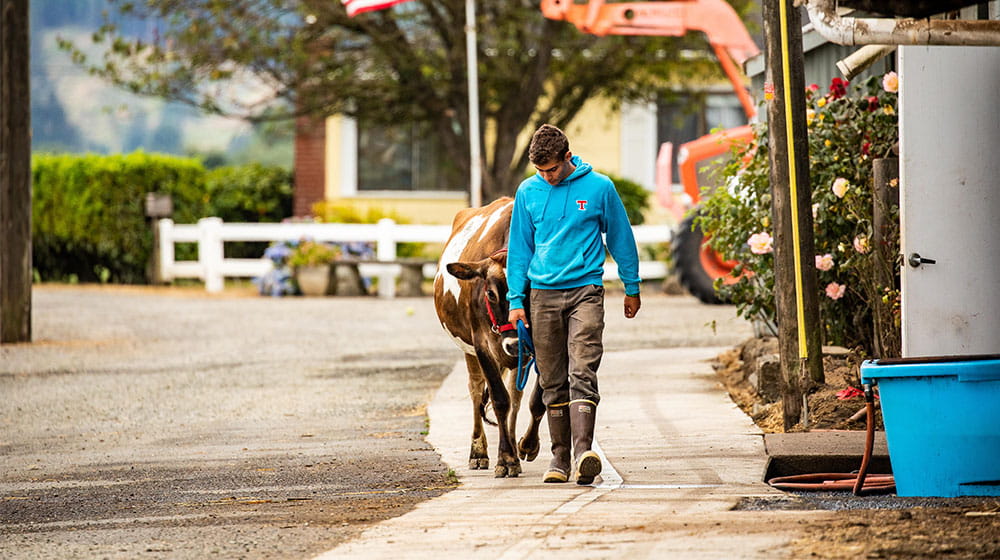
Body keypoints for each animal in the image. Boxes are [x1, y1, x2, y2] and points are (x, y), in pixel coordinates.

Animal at [433, 197, 545, 478]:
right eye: (491, 294)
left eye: (531, 289)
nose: (515, 344)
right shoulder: (481, 345)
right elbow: (499, 400)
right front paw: (505, 458)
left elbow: (535, 398)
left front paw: (525, 446)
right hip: (469, 350)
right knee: (475, 391)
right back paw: (479, 452)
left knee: (515, 398)